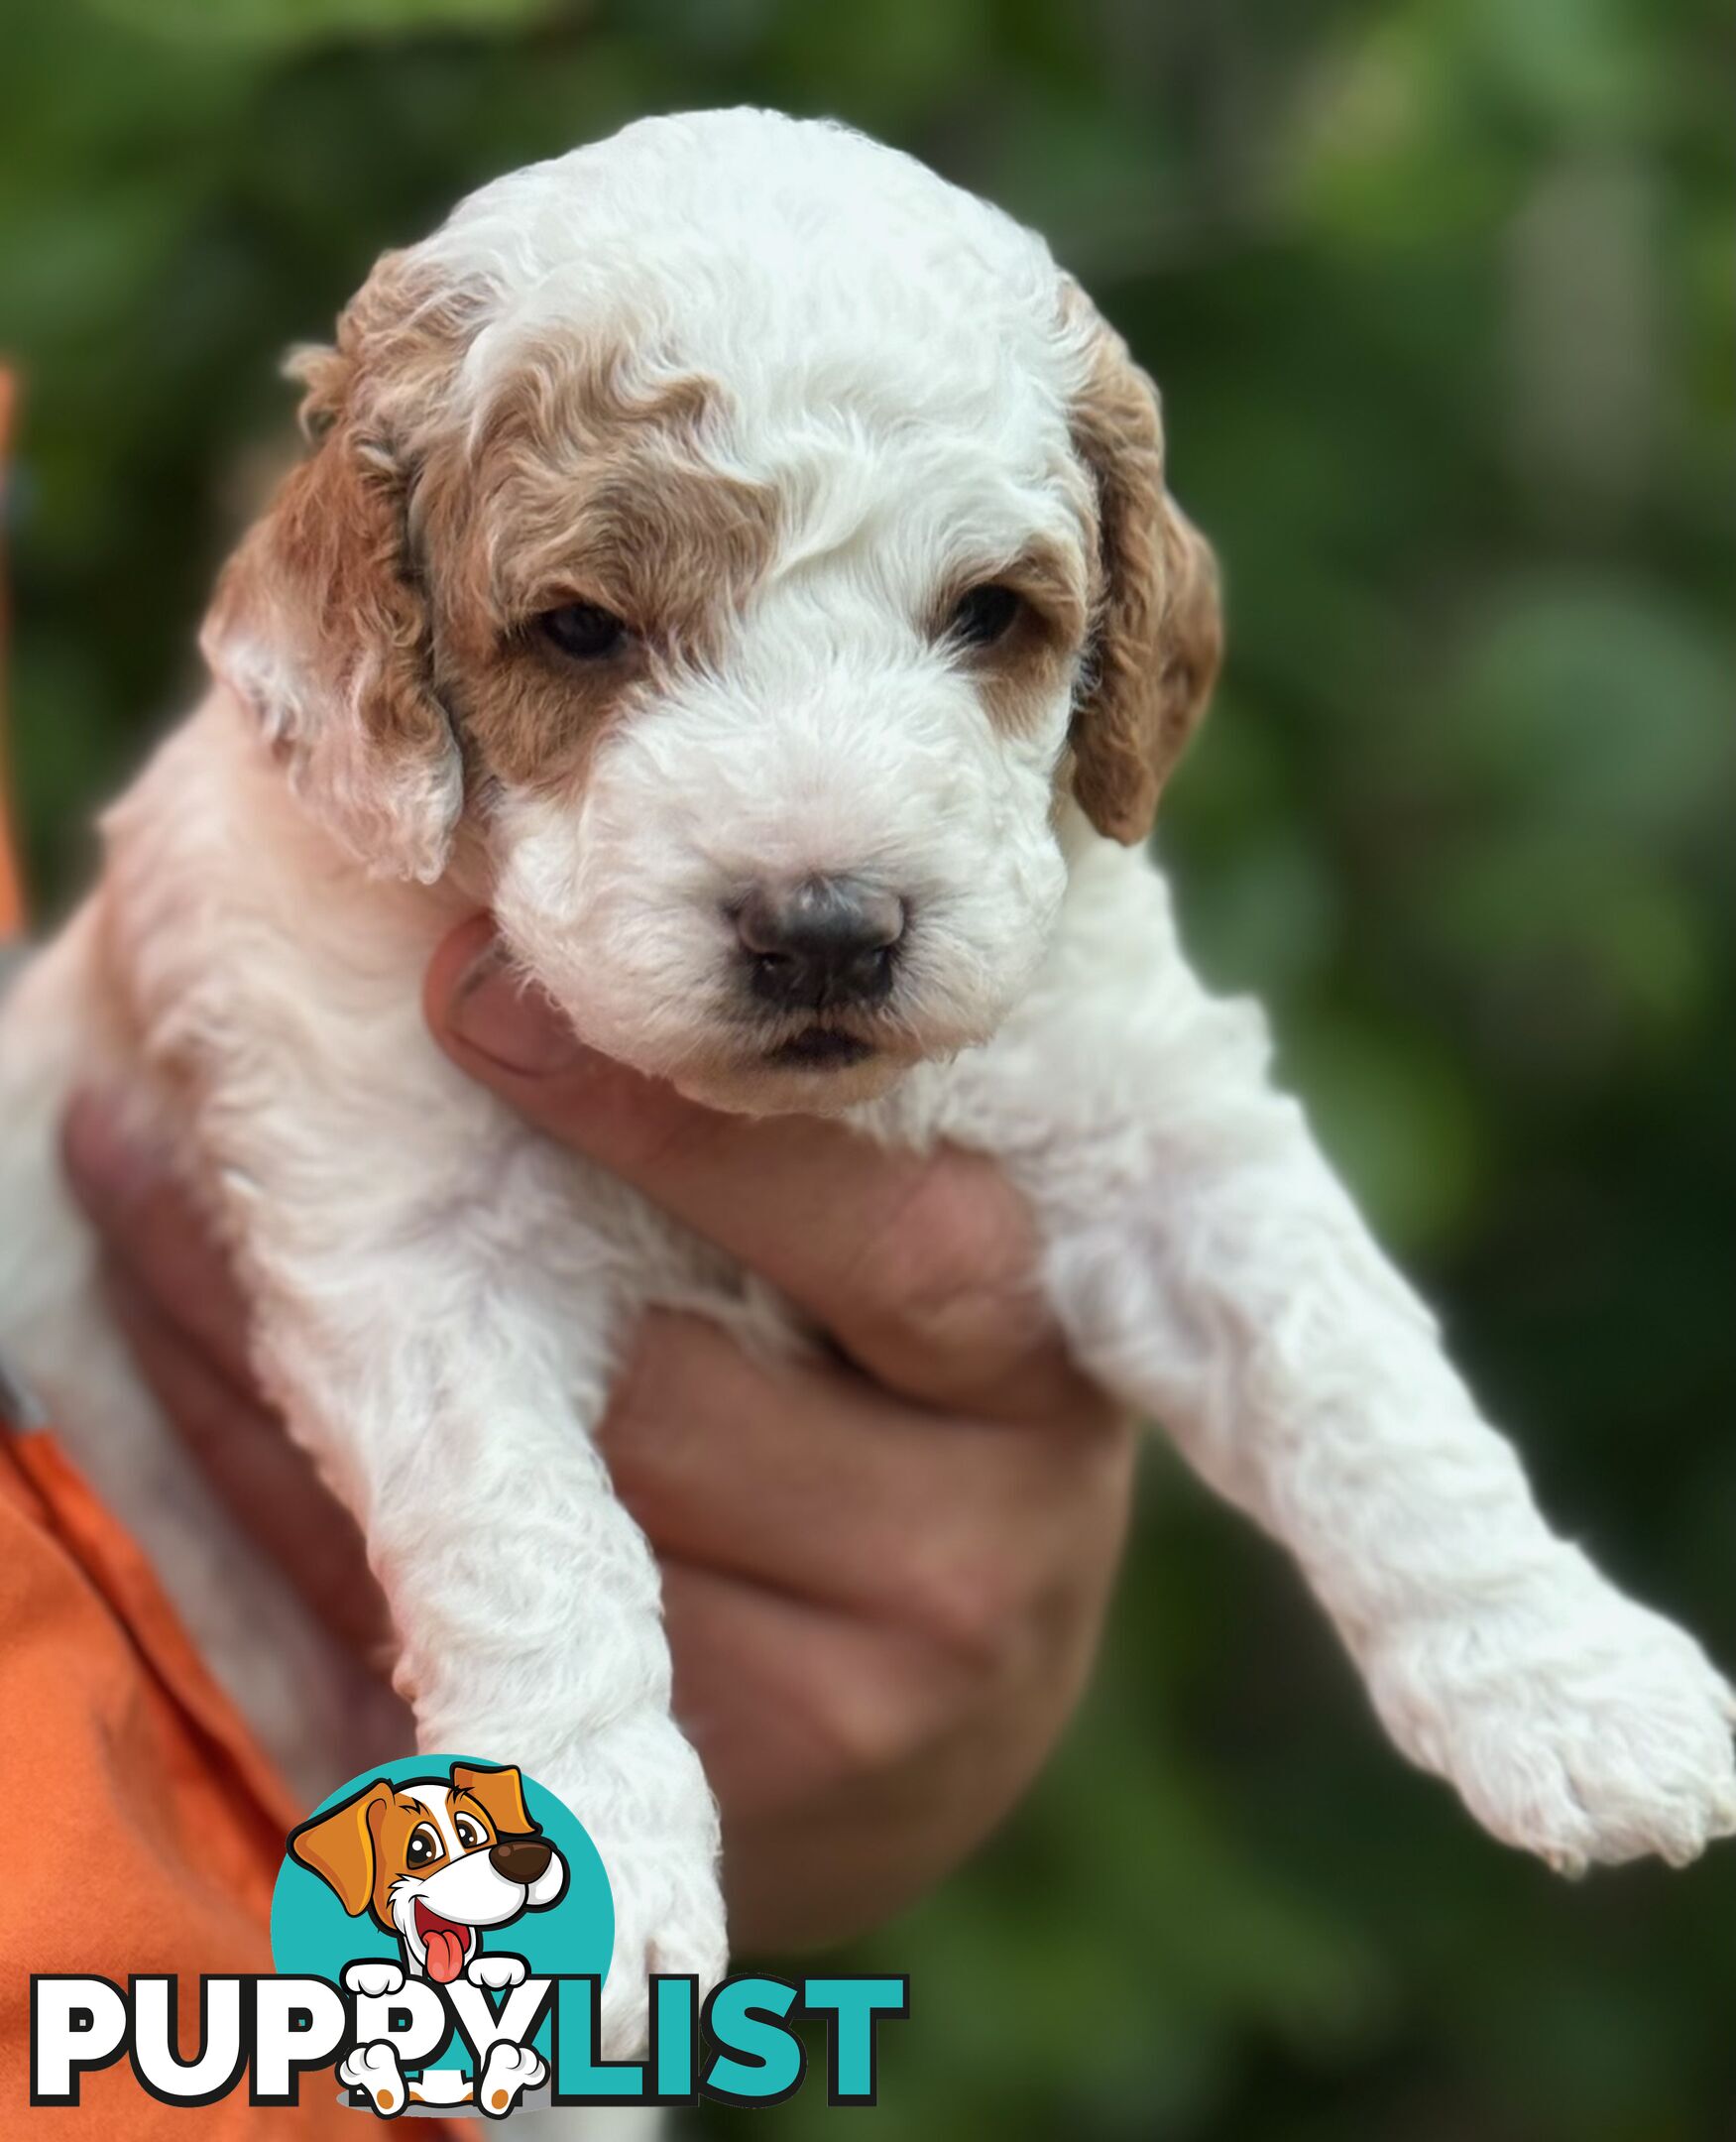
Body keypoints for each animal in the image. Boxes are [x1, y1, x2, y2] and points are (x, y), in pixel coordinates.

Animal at [3, 108, 1736, 2047]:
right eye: (583, 630)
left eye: (987, 614)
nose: (826, 929)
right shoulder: (397, 1233)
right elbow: (529, 1535)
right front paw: (587, 1856)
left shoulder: (1155, 1124)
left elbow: (1362, 1376)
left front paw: (1569, 1682)